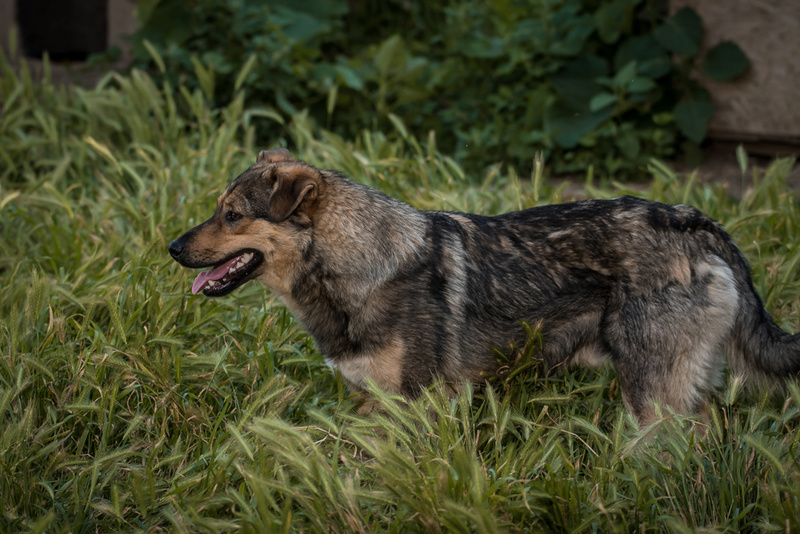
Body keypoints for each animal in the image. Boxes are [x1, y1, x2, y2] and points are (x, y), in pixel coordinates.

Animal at [169, 149, 800, 426]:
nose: (171, 247)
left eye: (231, 215)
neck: (361, 266)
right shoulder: (370, 403)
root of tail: (693, 221)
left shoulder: (417, 405)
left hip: (651, 396)